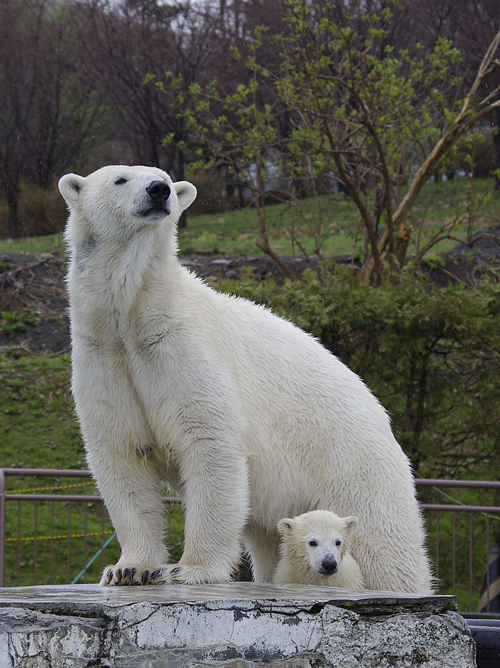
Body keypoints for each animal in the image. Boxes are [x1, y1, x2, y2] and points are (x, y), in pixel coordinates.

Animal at [59, 164, 434, 592]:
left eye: (166, 178)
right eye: (120, 179)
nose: (159, 191)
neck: (133, 314)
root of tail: (378, 411)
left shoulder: (185, 353)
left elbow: (210, 445)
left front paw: (190, 569)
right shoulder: (104, 357)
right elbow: (122, 456)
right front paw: (128, 569)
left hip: (350, 465)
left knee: (384, 547)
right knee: (274, 539)